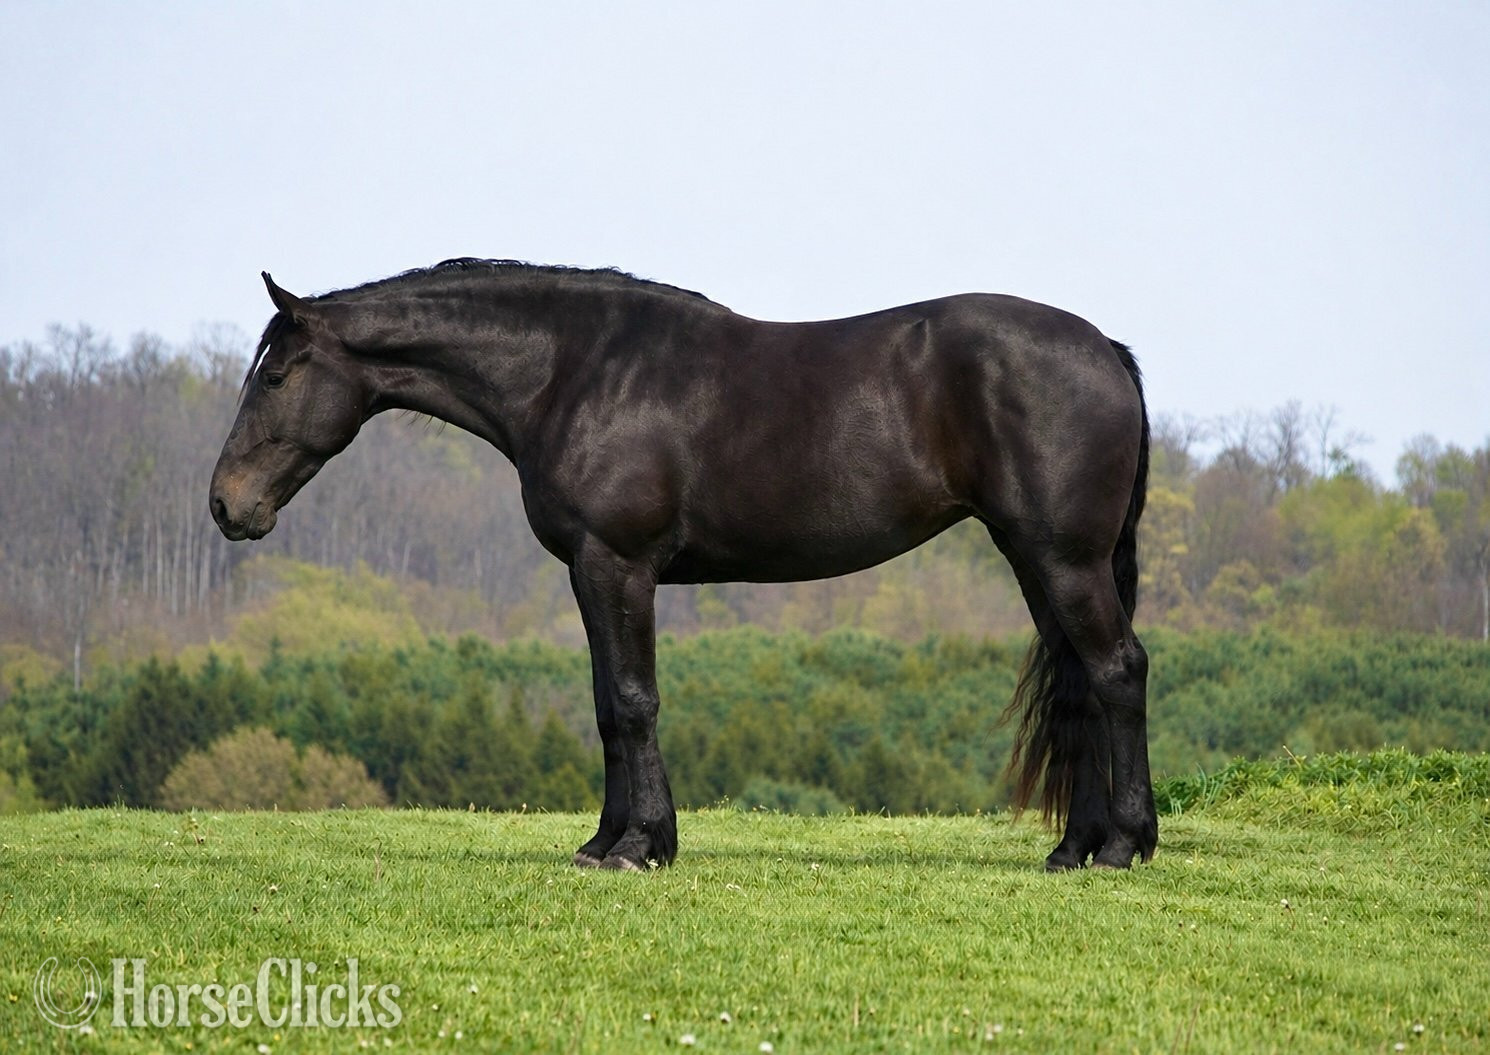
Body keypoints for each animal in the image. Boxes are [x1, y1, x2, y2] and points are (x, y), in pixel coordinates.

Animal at [209, 259, 1155, 872]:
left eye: (278, 374)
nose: (226, 504)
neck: (574, 371)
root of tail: (1107, 348)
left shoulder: (616, 563)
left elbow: (634, 701)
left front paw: (641, 847)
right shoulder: (590, 571)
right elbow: (604, 707)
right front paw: (602, 841)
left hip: (1063, 559)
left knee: (1118, 671)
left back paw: (1124, 844)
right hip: (1036, 560)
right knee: (1079, 683)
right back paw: (1071, 846)